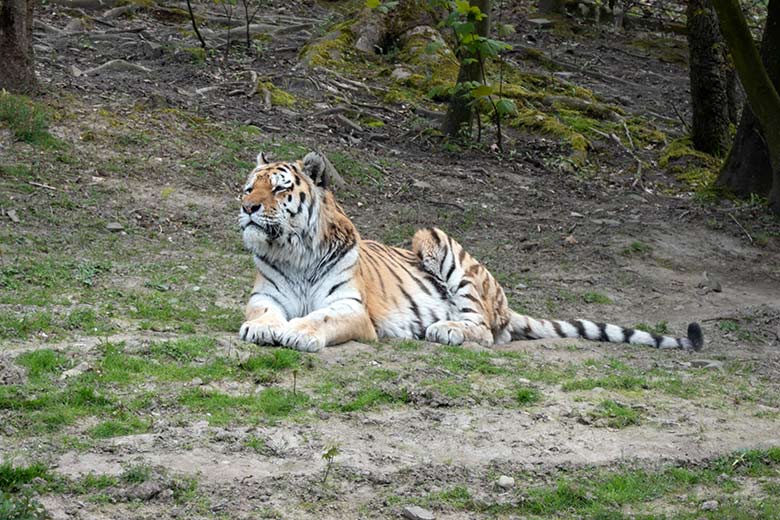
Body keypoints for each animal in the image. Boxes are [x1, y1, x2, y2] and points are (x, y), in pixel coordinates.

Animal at [235, 150, 704, 354]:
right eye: (248, 187)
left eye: (279, 188)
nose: (248, 208)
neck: (293, 251)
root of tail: (505, 305)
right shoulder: (265, 297)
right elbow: (264, 315)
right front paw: (262, 330)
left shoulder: (351, 308)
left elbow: (322, 317)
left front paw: (298, 332)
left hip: (434, 238)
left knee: (484, 329)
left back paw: (447, 329)